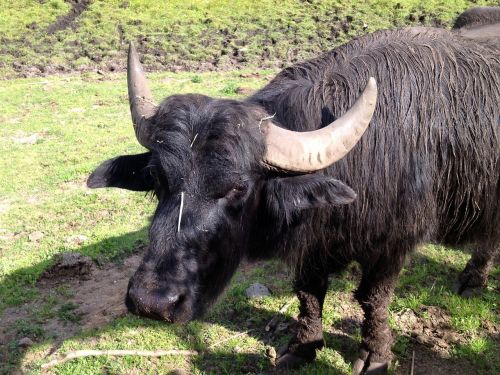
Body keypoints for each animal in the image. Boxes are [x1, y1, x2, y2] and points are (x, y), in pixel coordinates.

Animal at [88, 25, 498, 374]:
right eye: (158, 178)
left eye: (238, 188)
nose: (151, 303)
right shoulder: (311, 244)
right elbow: (309, 293)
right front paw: (304, 347)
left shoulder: (392, 245)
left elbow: (372, 299)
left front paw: (375, 355)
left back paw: (471, 278)